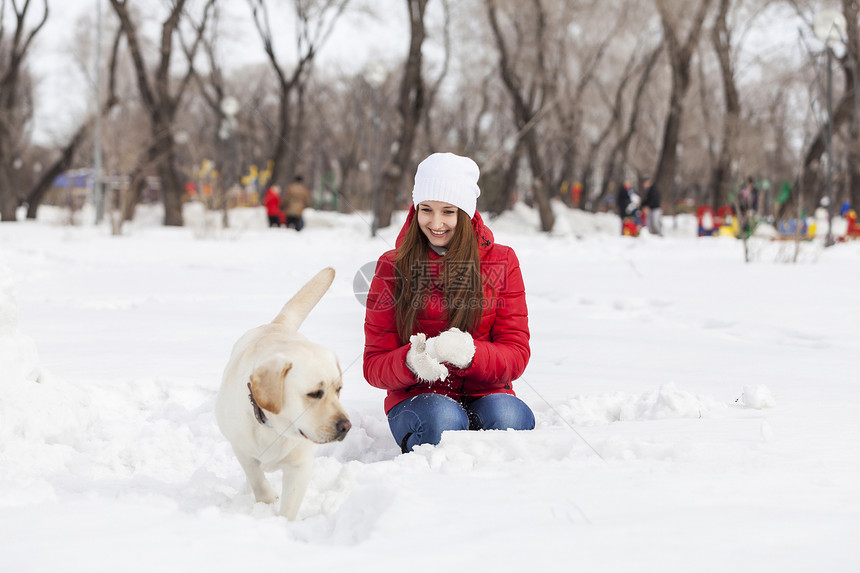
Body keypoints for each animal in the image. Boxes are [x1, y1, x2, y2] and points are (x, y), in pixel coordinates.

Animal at [215, 268, 350, 520]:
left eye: (339, 389)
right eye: (315, 393)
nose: (346, 426)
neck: (276, 428)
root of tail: (276, 325)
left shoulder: (300, 466)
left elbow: (289, 506)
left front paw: (282, 523)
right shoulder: (242, 450)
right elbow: (257, 478)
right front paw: (268, 499)